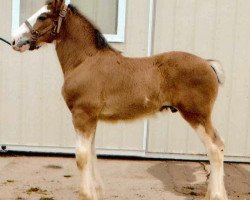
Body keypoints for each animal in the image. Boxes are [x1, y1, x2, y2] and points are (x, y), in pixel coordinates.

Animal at [11, 0, 229, 200]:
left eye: (42, 16)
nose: (14, 40)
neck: (85, 60)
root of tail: (208, 64)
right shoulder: (91, 118)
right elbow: (92, 153)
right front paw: (97, 192)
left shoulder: (82, 115)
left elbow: (82, 156)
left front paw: (85, 194)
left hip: (197, 115)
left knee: (214, 148)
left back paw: (217, 195)